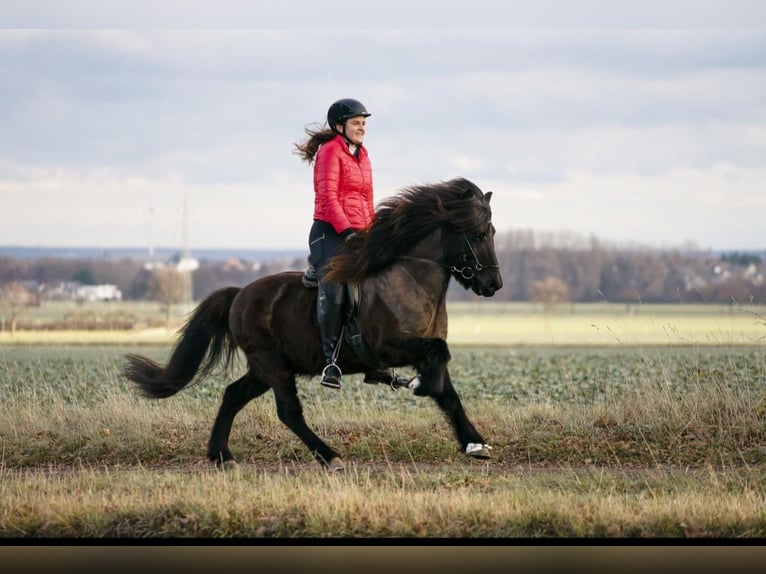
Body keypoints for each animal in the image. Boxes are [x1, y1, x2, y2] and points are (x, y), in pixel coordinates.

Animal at [124, 179, 504, 472]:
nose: (493, 285)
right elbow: (439, 363)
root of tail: (239, 295)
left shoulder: (424, 350)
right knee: (288, 412)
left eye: (492, 232)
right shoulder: (391, 347)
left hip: (266, 367)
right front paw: (420, 386)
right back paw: (329, 456)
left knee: (233, 395)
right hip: (272, 365)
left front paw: (474, 443)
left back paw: (221, 456)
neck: (409, 277)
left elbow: (448, 391)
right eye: (478, 234)